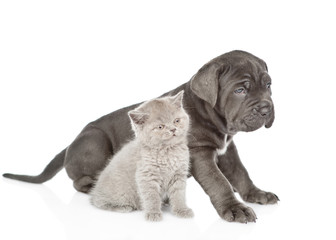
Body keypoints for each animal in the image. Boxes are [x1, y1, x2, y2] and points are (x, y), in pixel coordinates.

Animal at [90, 90, 194, 221]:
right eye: (160, 127)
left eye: (176, 120)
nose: (173, 129)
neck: (167, 152)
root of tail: (95, 190)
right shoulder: (146, 176)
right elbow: (151, 196)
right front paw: (153, 213)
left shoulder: (179, 174)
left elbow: (178, 195)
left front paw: (182, 210)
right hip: (120, 193)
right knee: (99, 202)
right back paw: (123, 207)